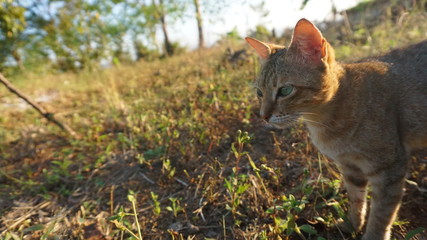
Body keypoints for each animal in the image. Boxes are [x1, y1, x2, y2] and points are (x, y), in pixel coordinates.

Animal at [246, 18, 426, 240]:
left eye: (285, 90)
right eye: (259, 92)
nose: (263, 116)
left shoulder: (389, 168)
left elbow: (381, 214)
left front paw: (372, 234)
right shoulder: (350, 168)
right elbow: (356, 201)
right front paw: (352, 225)